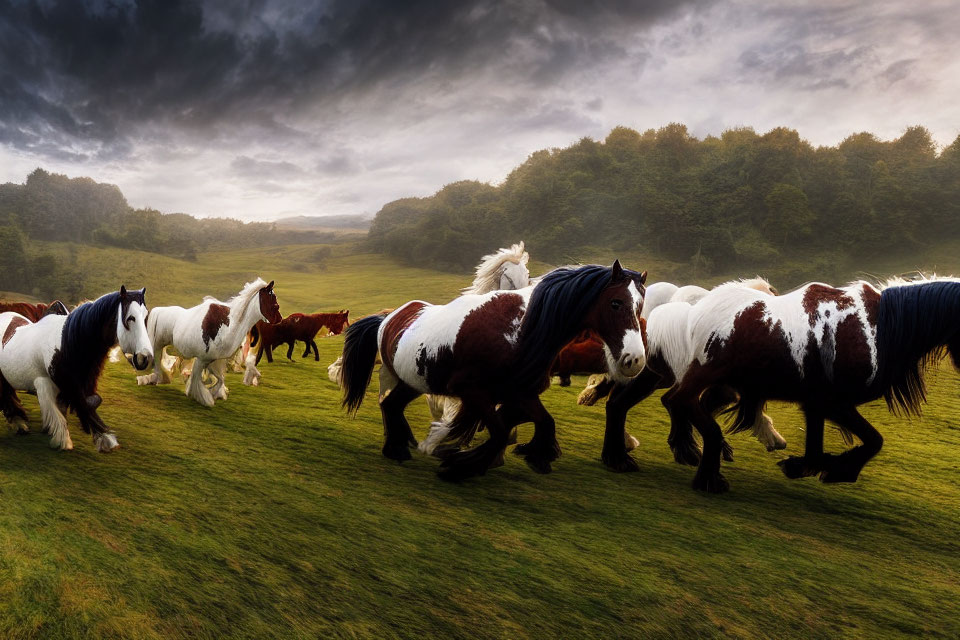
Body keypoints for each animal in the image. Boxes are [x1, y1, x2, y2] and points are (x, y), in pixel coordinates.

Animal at [0, 288, 152, 452]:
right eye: (131, 318)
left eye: (145, 316)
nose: (145, 357)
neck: (66, 345)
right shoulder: (45, 385)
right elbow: (66, 412)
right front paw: (65, 440)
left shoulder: (82, 385)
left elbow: (86, 403)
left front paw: (104, 437)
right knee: (8, 396)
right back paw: (19, 423)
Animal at [139, 278, 282, 404]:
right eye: (272, 299)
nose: (279, 319)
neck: (229, 327)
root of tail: (158, 311)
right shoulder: (202, 358)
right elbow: (196, 378)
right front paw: (201, 397)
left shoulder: (213, 360)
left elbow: (219, 380)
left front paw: (214, 393)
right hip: (157, 345)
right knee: (157, 361)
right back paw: (154, 378)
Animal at [342, 262, 648, 480]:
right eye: (616, 303)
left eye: (641, 306)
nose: (634, 360)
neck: (521, 330)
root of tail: (388, 317)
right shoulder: (473, 392)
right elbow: (500, 432)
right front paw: (459, 465)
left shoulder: (521, 393)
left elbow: (543, 422)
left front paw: (536, 456)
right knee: (389, 405)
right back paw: (399, 447)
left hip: (413, 382)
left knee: (391, 405)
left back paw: (398, 448)